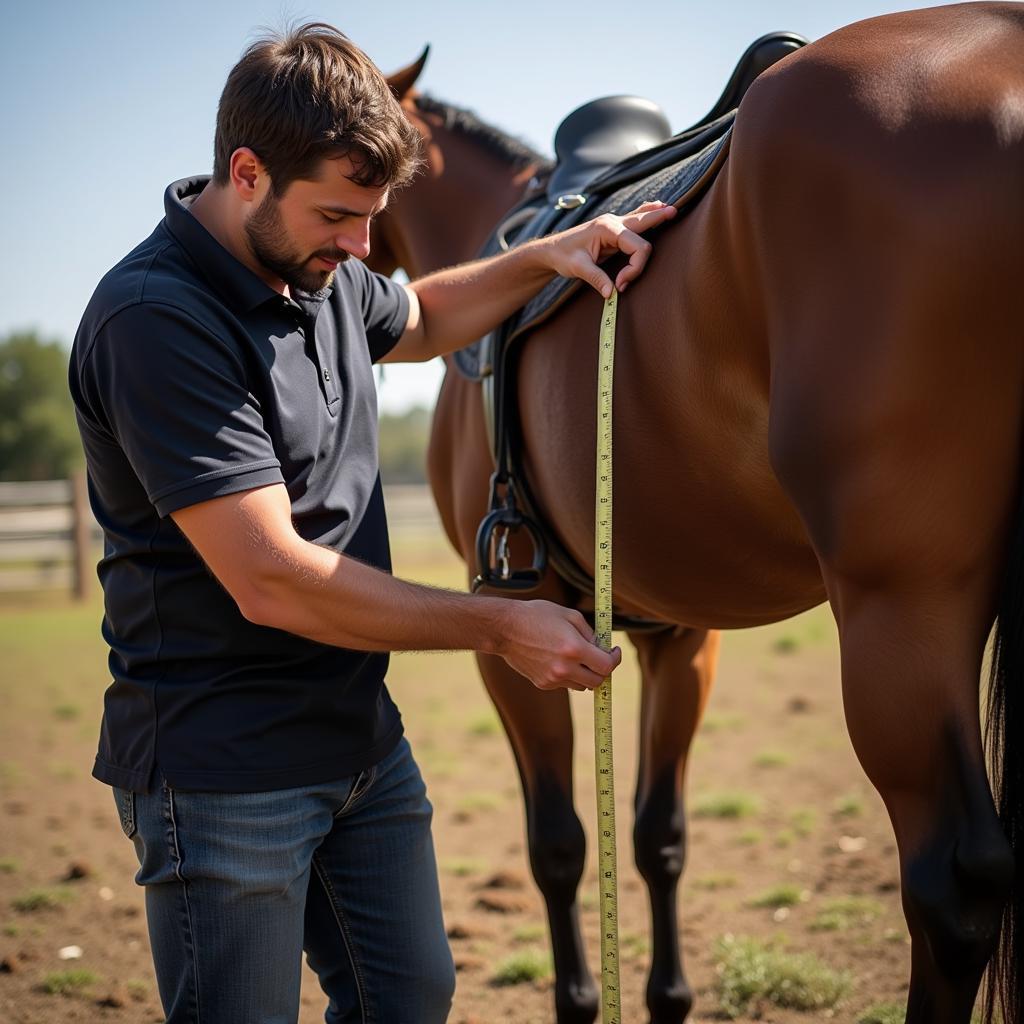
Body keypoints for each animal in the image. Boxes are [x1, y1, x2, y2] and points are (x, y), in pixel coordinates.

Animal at [370, 4, 1024, 1019]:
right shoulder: (681, 634)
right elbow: (657, 835)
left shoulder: (510, 620)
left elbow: (557, 844)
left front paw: (581, 999)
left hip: (903, 601)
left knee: (952, 883)